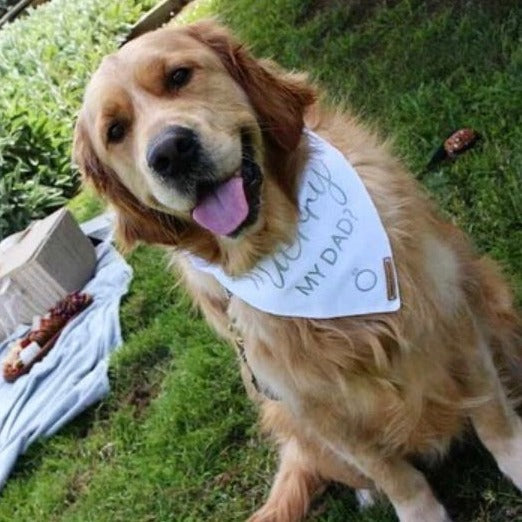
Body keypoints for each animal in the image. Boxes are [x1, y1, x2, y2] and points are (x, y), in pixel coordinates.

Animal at [73, 20, 520, 520]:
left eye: (179, 76)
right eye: (115, 131)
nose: (170, 153)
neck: (280, 240)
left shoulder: (450, 313)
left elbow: (493, 414)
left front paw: (516, 461)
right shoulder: (310, 402)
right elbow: (392, 473)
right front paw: (418, 511)